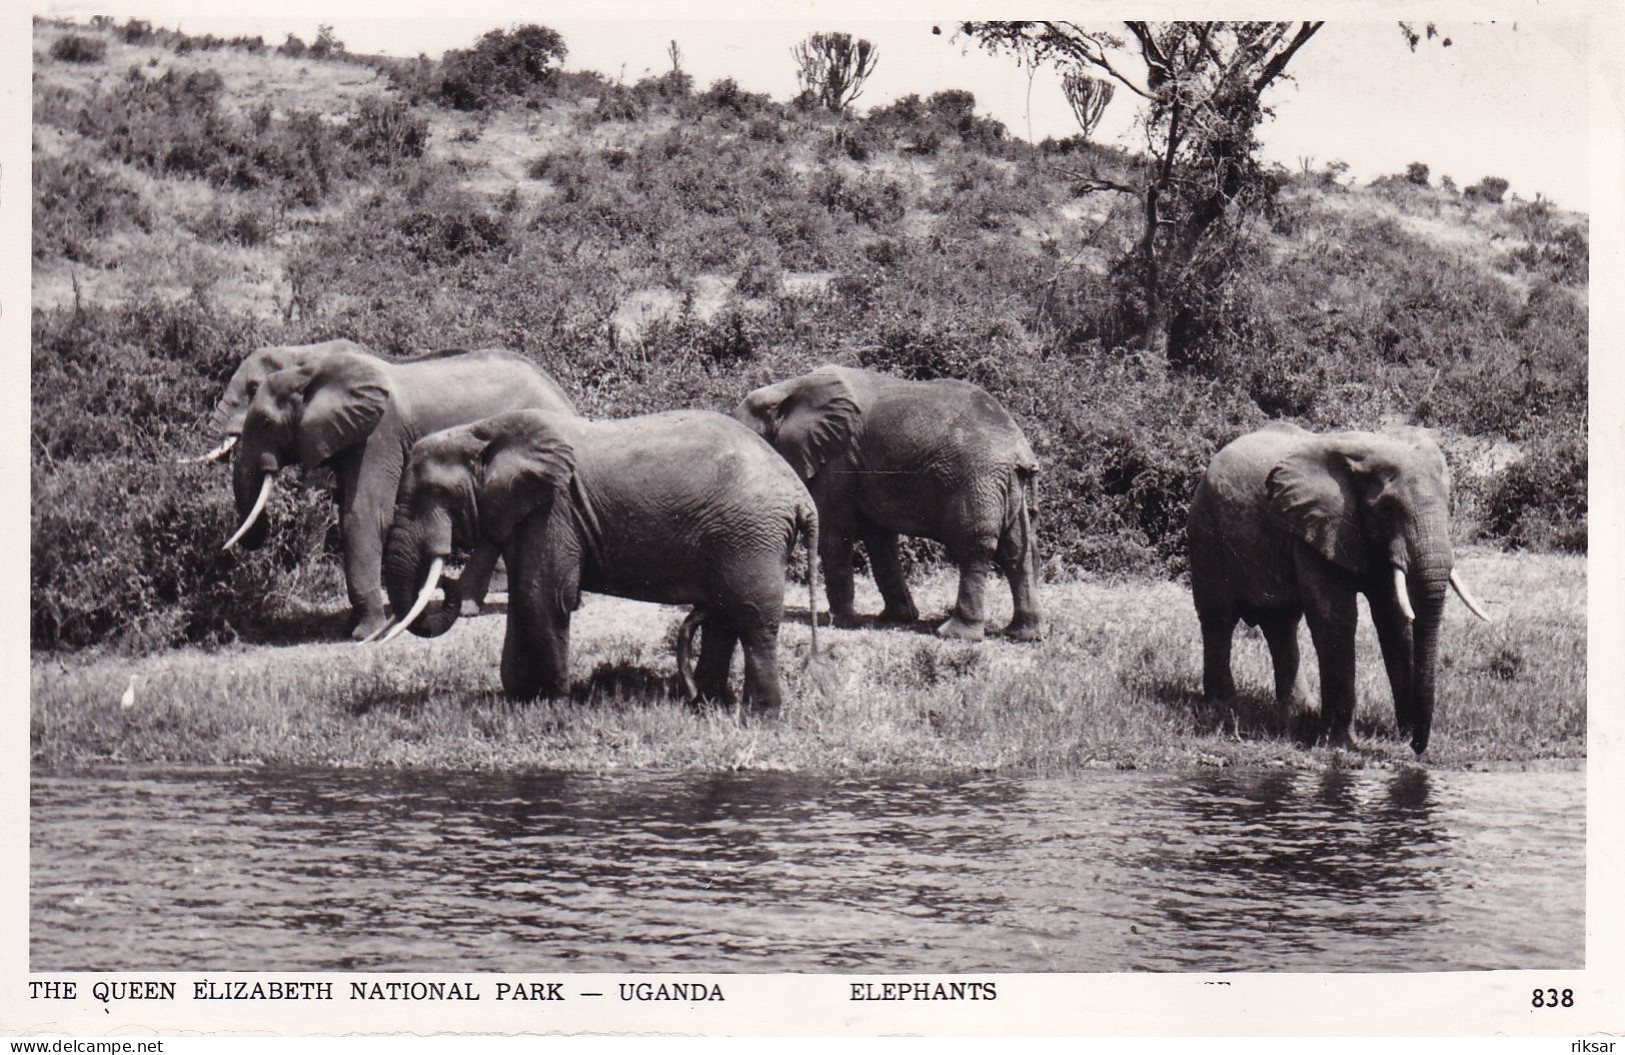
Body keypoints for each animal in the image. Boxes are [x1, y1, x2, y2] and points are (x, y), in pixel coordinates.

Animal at [215, 343, 576, 640]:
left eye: (264, 422)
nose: (230, 547)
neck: (309, 365)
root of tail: (561, 395)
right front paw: (354, 626)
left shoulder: (379, 434)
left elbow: (363, 514)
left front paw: (364, 634)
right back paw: (468, 605)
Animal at [378, 408, 819, 709]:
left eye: (434, 493)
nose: (448, 582)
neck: (484, 432)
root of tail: (800, 495)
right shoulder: (527, 512)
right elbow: (524, 598)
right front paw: (519, 699)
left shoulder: (554, 509)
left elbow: (543, 597)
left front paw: (553, 704)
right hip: (740, 537)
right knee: (725, 618)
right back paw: (705, 704)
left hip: (752, 534)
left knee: (754, 620)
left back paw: (758, 714)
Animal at [733, 365, 1042, 642]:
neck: (785, 390)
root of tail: (1019, 451)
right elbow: (879, 540)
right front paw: (896, 619)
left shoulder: (839, 459)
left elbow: (835, 532)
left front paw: (840, 622)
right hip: (1007, 486)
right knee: (1018, 550)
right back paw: (1024, 634)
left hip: (978, 479)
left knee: (974, 548)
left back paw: (957, 634)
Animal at [1186, 421, 1490, 755]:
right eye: (1387, 509)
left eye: (1448, 505)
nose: (1415, 746)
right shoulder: (1315, 528)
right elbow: (1336, 617)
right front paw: (1341, 743)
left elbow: (1391, 618)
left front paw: (1400, 734)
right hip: (1205, 533)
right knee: (1219, 619)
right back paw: (1222, 706)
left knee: (1281, 624)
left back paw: (1299, 711)